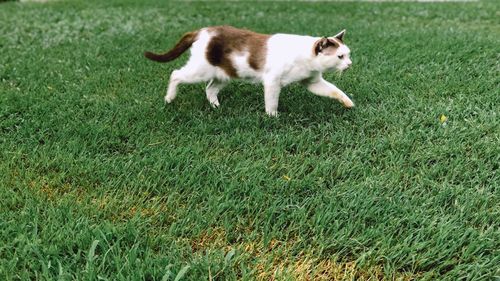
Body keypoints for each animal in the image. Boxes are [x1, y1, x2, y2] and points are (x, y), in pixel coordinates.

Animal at [145, 24, 354, 115]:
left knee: (209, 89)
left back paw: (217, 107)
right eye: (340, 57)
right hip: (200, 71)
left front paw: (349, 103)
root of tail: (201, 30)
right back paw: (169, 99)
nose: (350, 64)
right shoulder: (272, 82)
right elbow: (272, 103)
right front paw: (273, 117)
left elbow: (335, 90)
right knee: (175, 74)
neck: (306, 59)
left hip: (224, 74)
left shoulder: (313, 82)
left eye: (348, 54)